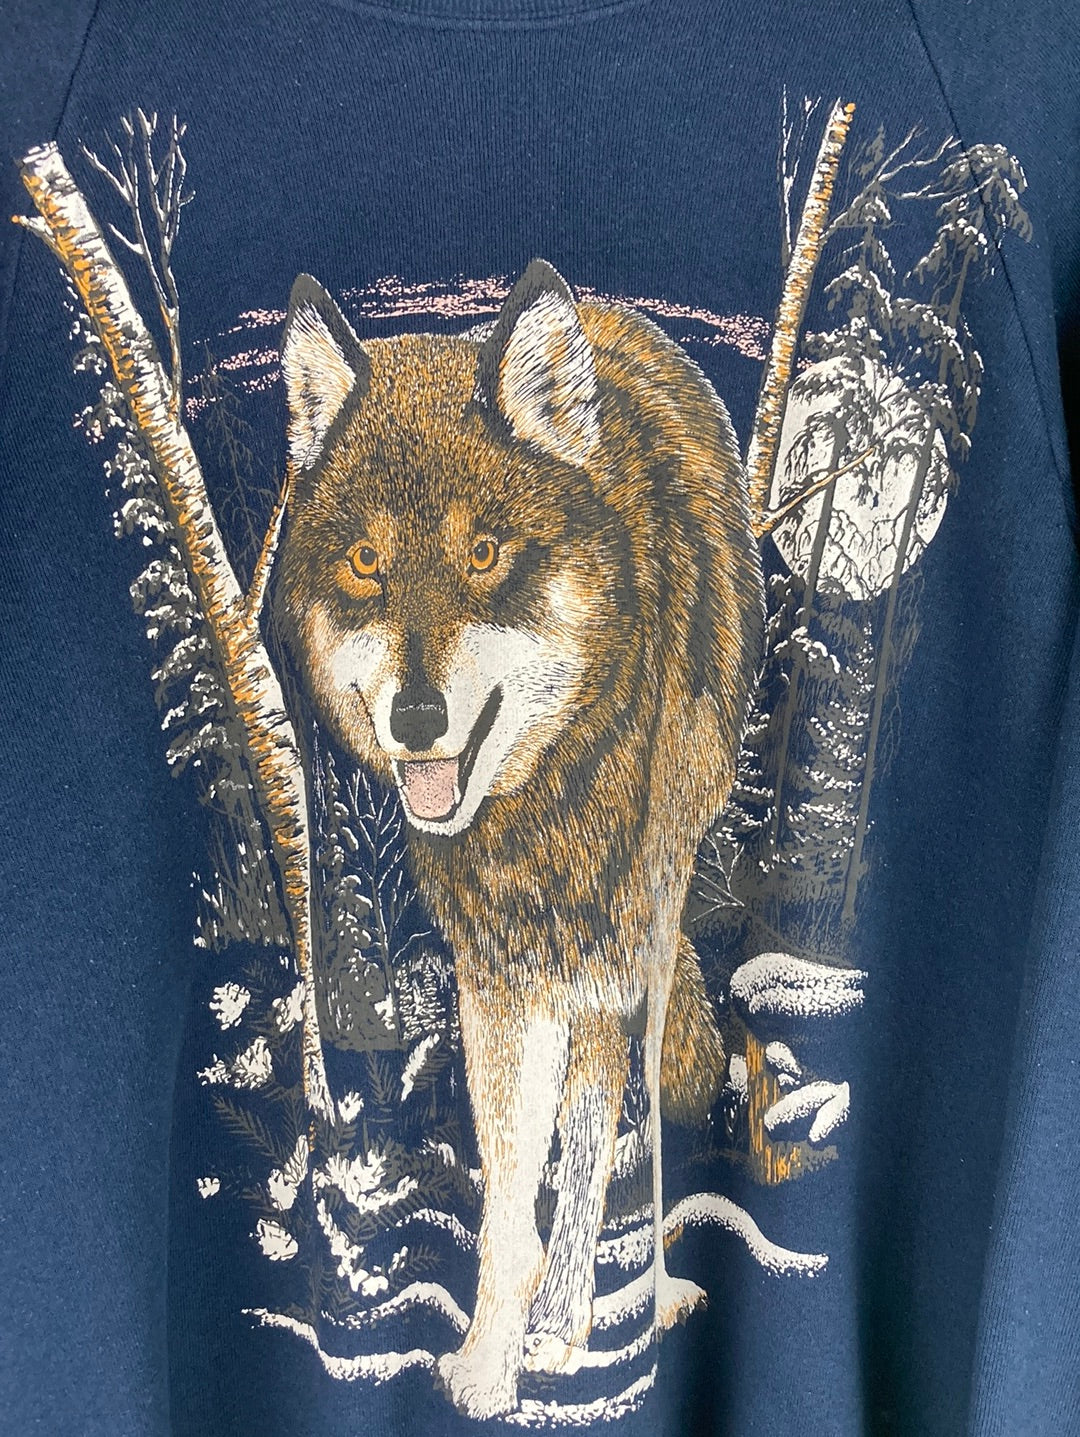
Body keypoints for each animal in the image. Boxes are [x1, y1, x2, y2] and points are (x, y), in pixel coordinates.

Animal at [274, 259, 764, 1418]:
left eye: (485, 551)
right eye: (366, 561)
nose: (416, 719)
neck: (547, 797)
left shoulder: (626, 941)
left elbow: (606, 1149)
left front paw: (570, 1322)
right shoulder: (494, 973)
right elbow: (503, 1195)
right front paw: (490, 1357)